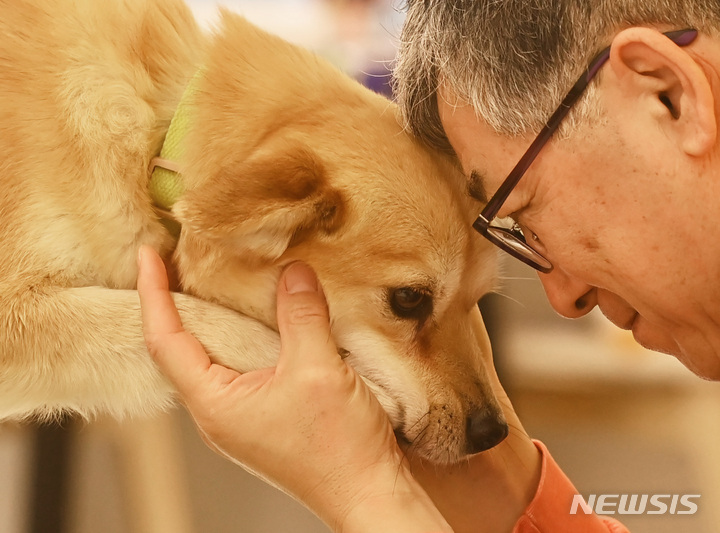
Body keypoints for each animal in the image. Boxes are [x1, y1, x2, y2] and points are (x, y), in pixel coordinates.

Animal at [0, 0, 506, 462]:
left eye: (476, 300)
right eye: (408, 300)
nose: (494, 433)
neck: (156, 140)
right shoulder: (16, 315)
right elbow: (206, 319)